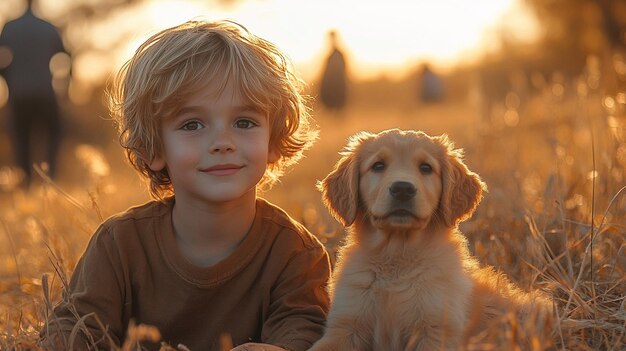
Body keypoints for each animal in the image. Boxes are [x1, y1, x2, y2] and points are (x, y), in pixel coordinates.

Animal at [310, 129, 548, 351]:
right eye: (378, 165)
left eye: (425, 168)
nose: (402, 189)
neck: (397, 258)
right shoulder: (345, 326)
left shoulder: (436, 329)